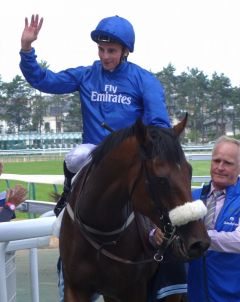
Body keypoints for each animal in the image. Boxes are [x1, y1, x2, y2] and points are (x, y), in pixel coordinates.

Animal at [59, 114, 209, 300]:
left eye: (189, 171)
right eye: (161, 179)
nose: (199, 242)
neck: (100, 232)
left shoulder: (133, 290)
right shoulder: (76, 287)